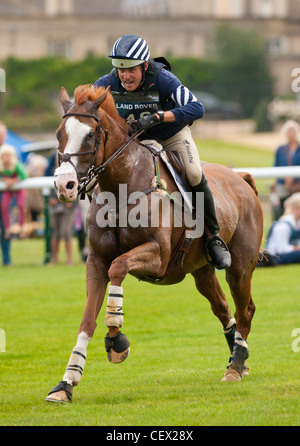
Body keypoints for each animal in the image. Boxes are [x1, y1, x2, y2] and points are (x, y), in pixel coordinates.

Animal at [46, 85, 262, 402]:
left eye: (90, 135)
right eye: (59, 133)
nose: (65, 185)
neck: (121, 188)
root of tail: (241, 178)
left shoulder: (157, 256)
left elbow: (119, 268)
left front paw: (116, 338)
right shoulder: (96, 260)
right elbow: (87, 320)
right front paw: (66, 383)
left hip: (240, 268)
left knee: (244, 310)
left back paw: (235, 367)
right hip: (201, 271)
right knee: (223, 309)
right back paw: (240, 358)